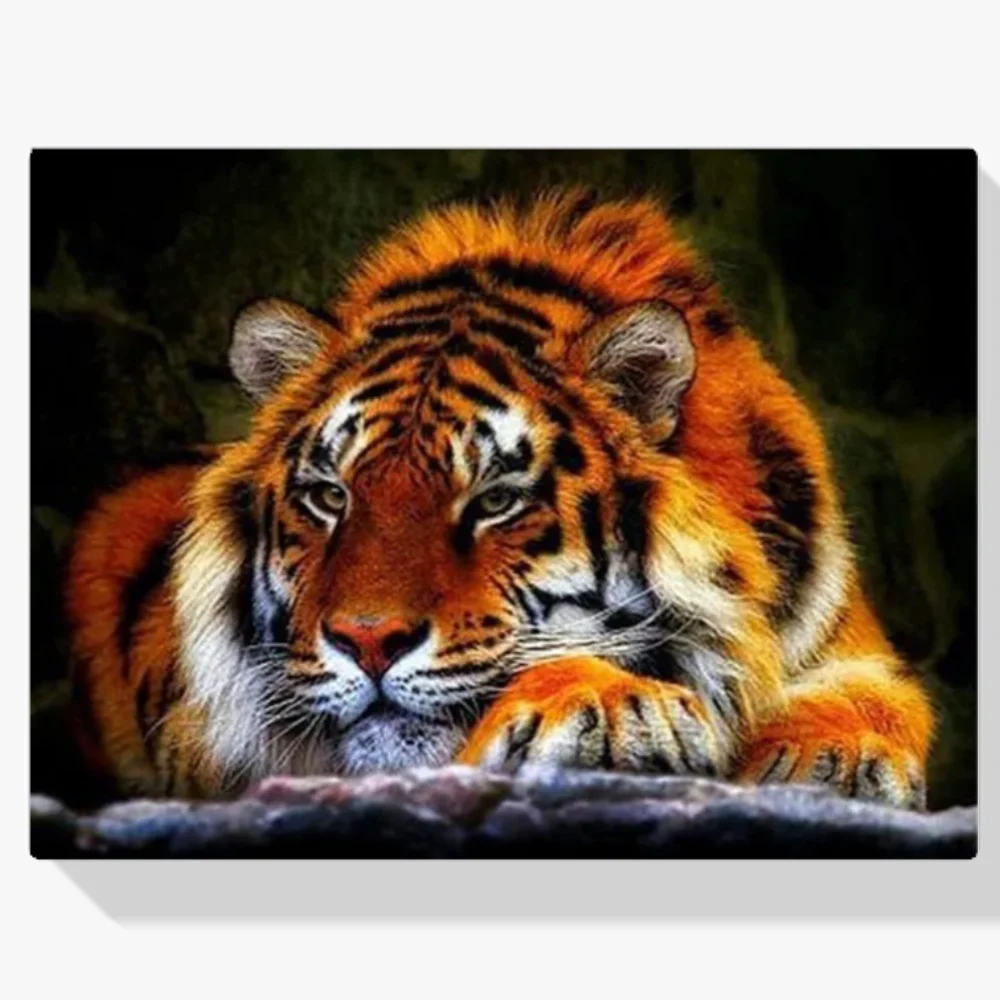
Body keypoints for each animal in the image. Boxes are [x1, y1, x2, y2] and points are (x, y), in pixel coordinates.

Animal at [65, 188, 933, 808]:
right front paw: (614, 705)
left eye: (494, 501)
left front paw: (830, 757)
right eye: (330, 496)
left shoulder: (848, 645)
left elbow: (875, 700)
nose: (367, 641)